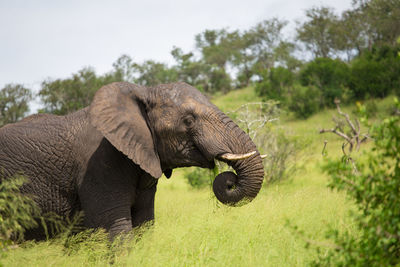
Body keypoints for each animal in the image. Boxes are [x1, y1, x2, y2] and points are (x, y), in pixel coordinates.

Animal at [0, 82, 264, 240]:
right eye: (189, 121)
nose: (229, 181)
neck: (141, 93)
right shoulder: (99, 166)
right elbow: (116, 230)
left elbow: (145, 225)